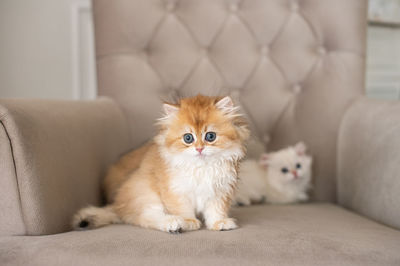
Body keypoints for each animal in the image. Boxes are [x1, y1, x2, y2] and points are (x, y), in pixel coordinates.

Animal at [71, 95, 247, 233]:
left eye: (210, 136)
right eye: (188, 138)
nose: (199, 149)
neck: (201, 167)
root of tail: (116, 204)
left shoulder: (220, 191)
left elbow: (216, 210)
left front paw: (219, 223)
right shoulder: (175, 190)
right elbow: (183, 209)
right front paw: (188, 222)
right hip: (146, 194)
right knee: (145, 217)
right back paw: (173, 224)